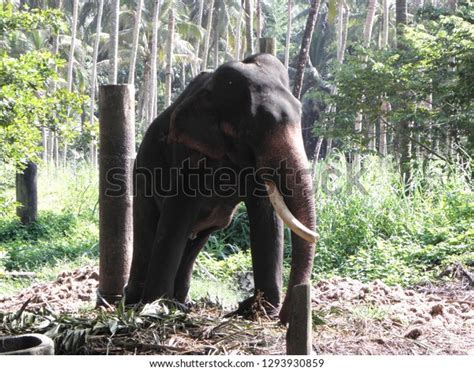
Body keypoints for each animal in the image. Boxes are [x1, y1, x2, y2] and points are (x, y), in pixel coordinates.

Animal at [125, 53, 318, 324]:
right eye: (250, 130)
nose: (285, 317)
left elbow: (266, 216)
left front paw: (258, 310)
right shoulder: (188, 153)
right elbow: (177, 215)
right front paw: (157, 308)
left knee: (194, 241)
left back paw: (180, 303)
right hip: (142, 174)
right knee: (149, 227)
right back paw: (137, 302)